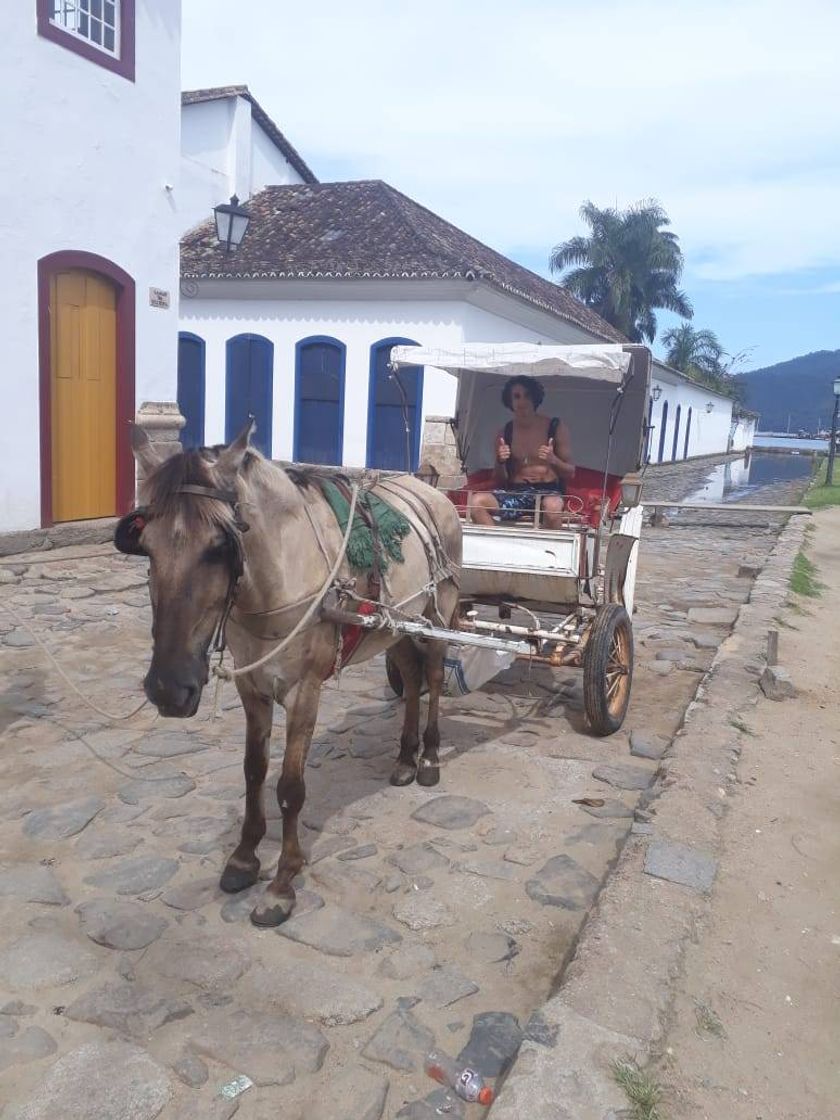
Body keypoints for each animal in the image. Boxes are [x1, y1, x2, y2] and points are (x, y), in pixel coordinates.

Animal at [115, 421, 463, 927]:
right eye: (145, 547)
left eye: (220, 546)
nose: (168, 689)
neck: (277, 577)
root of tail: (432, 491)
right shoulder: (252, 688)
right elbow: (253, 771)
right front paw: (244, 858)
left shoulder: (304, 693)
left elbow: (289, 787)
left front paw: (282, 882)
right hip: (396, 626)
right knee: (411, 678)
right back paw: (404, 759)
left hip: (437, 615)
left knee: (433, 678)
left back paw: (431, 759)